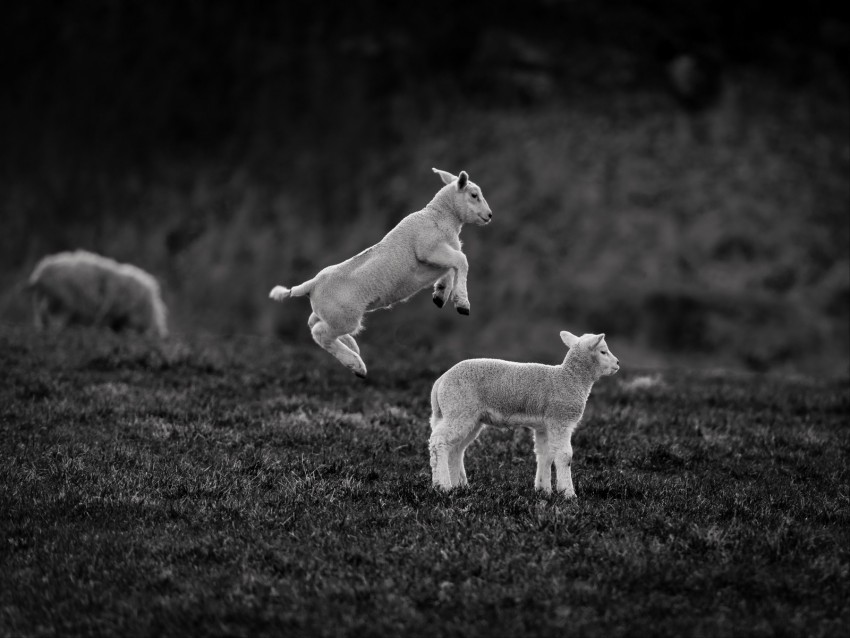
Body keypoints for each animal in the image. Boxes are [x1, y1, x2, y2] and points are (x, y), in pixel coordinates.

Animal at [28, 250, 167, 340]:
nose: (160, 335)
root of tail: (39, 275)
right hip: (61, 303)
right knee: (54, 322)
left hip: (43, 301)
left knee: (44, 318)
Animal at [268, 170, 494, 380]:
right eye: (474, 195)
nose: (490, 215)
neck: (440, 216)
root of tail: (311, 284)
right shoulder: (429, 248)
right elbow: (461, 260)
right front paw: (462, 303)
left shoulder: (440, 255)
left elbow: (451, 267)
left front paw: (440, 294)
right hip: (344, 317)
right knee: (320, 334)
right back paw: (356, 365)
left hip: (328, 312)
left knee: (313, 323)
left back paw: (352, 346)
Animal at [430, 332, 616, 498]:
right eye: (603, 351)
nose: (618, 363)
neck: (570, 378)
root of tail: (440, 382)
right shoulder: (560, 420)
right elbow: (565, 456)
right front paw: (568, 494)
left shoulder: (544, 425)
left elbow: (545, 455)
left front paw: (544, 490)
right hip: (459, 409)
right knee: (438, 441)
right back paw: (444, 486)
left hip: (468, 417)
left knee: (455, 449)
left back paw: (457, 486)